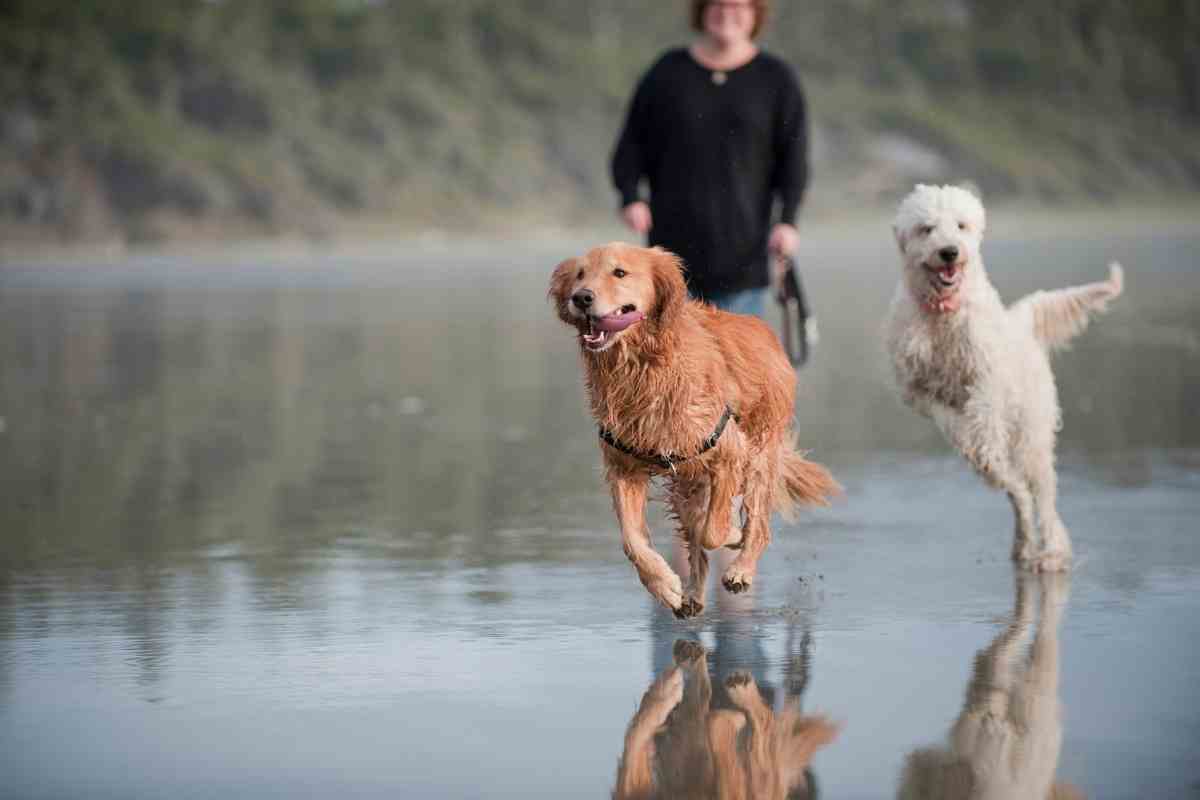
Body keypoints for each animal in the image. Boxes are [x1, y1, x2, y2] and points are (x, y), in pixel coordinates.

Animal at [549, 244, 840, 618]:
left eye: (619, 272)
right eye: (580, 274)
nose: (581, 297)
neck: (643, 366)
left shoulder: (730, 450)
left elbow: (714, 531)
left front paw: (731, 534)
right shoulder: (623, 469)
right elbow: (632, 541)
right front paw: (664, 585)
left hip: (759, 455)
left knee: (756, 522)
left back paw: (741, 567)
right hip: (686, 482)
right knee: (696, 543)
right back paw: (690, 595)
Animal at [883, 184, 1123, 573]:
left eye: (961, 225)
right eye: (926, 228)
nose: (949, 252)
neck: (943, 314)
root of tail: (1021, 322)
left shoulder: (986, 377)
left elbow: (984, 413)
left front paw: (983, 442)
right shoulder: (919, 391)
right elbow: (951, 421)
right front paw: (970, 442)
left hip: (1031, 436)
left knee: (1042, 496)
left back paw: (1051, 551)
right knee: (1018, 494)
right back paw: (1022, 544)